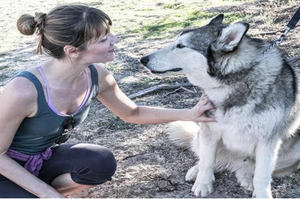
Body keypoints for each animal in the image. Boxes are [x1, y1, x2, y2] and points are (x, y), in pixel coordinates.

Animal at [140, 14, 300, 198]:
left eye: (181, 46)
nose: (143, 59)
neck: (236, 81)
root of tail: (233, 162)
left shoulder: (267, 141)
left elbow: (262, 175)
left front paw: (262, 194)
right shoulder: (209, 130)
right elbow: (207, 162)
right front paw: (203, 184)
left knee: (247, 169)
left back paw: (246, 177)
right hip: (200, 137)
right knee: (210, 160)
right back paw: (196, 171)